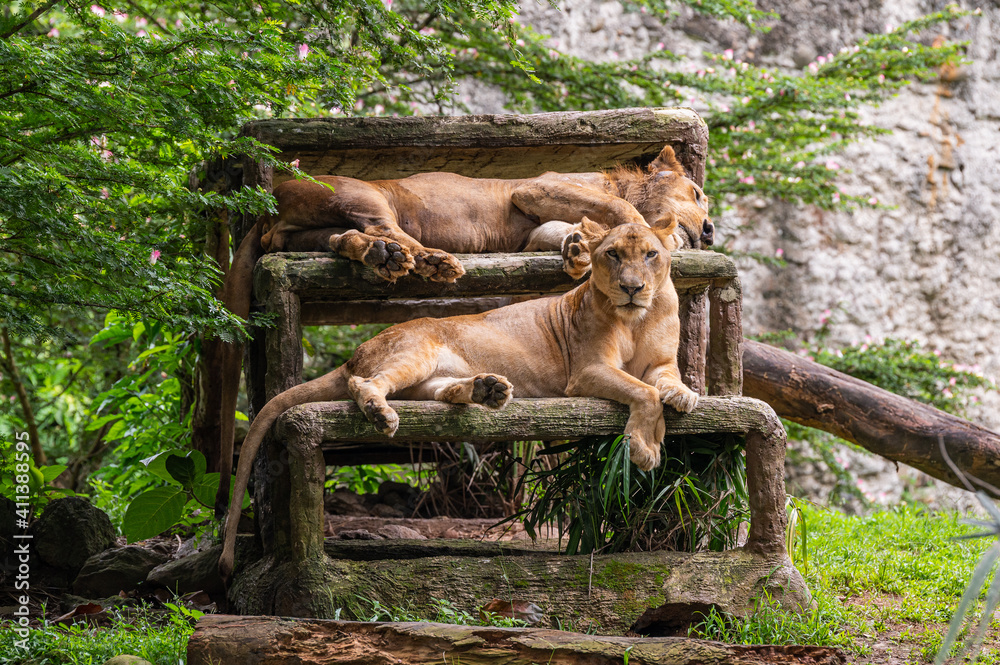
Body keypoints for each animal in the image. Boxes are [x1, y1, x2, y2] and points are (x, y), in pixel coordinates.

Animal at [213, 145, 712, 515]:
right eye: (696, 191)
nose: (708, 229)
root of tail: (267, 208)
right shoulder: (537, 186)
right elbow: (621, 207)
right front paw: (642, 234)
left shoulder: (534, 231)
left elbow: (568, 232)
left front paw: (576, 251)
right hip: (363, 194)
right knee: (385, 227)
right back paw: (430, 260)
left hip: (309, 233)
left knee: (346, 238)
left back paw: (383, 257)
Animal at [218, 219, 700, 580]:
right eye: (613, 255)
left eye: (651, 255)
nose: (633, 288)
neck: (637, 318)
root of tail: (361, 348)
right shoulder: (586, 371)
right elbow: (644, 392)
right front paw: (646, 449)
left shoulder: (659, 360)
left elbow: (664, 380)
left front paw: (686, 395)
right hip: (415, 351)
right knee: (363, 383)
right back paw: (381, 411)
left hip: (427, 378)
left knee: (442, 392)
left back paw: (487, 390)